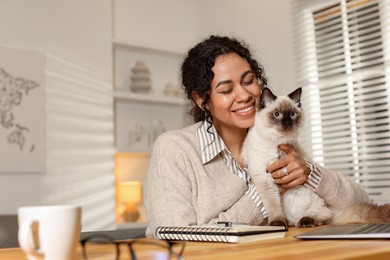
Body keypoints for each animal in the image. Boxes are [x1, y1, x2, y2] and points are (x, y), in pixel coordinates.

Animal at [244, 87, 390, 228]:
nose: (287, 122)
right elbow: (273, 205)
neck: (277, 142)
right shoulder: (264, 177)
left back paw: (306, 221)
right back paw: (289, 222)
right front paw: (278, 223)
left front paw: (278, 224)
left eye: (292, 114)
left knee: (324, 218)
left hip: (301, 194)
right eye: (276, 114)